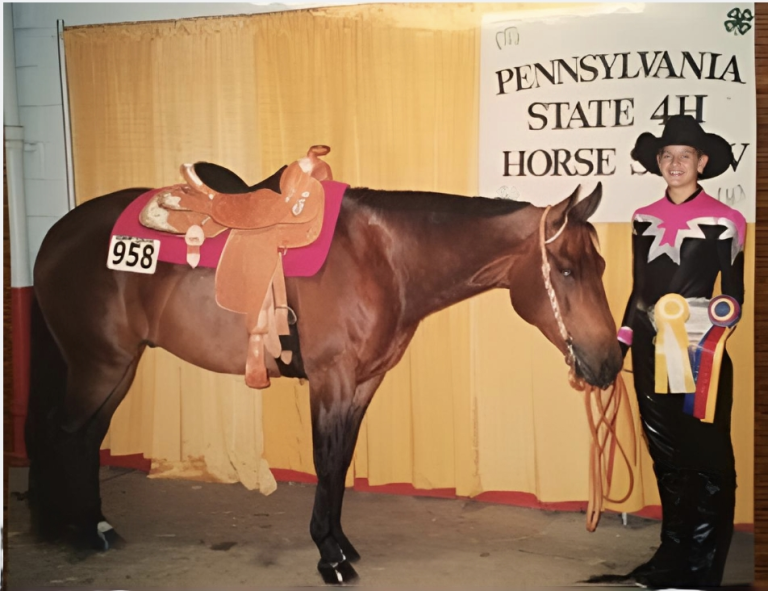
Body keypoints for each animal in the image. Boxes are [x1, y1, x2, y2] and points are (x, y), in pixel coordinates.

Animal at [27, 164, 624, 584]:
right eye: (565, 270)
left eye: (599, 266)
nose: (610, 361)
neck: (383, 259)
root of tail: (55, 237)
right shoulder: (331, 381)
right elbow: (325, 460)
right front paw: (329, 556)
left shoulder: (362, 384)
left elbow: (339, 464)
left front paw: (340, 543)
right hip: (98, 364)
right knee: (65, 432)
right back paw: (78, 531)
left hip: (120, 367)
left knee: (86, 437)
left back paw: (95, 524)